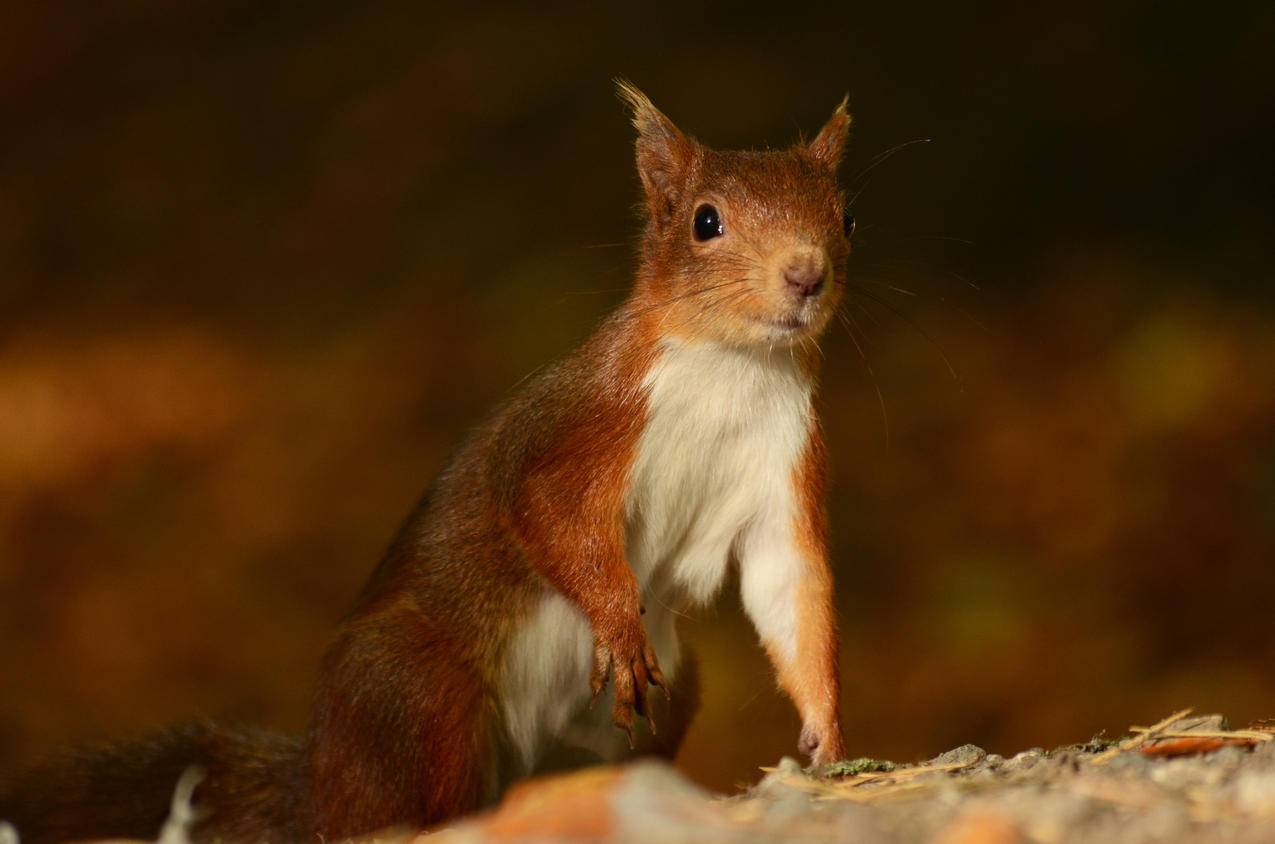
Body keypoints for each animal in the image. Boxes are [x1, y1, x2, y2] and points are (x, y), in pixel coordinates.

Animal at [4, 80, 856, 844]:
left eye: (846, 216)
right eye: (705, 222)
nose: (804, 275)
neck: (732, 365)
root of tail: (318, 782)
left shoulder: (785, 461)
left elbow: (787, 584)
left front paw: (825, 732)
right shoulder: (583, 421)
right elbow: (542, 509)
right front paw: (617, 620)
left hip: (661, 699)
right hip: (415, 684)